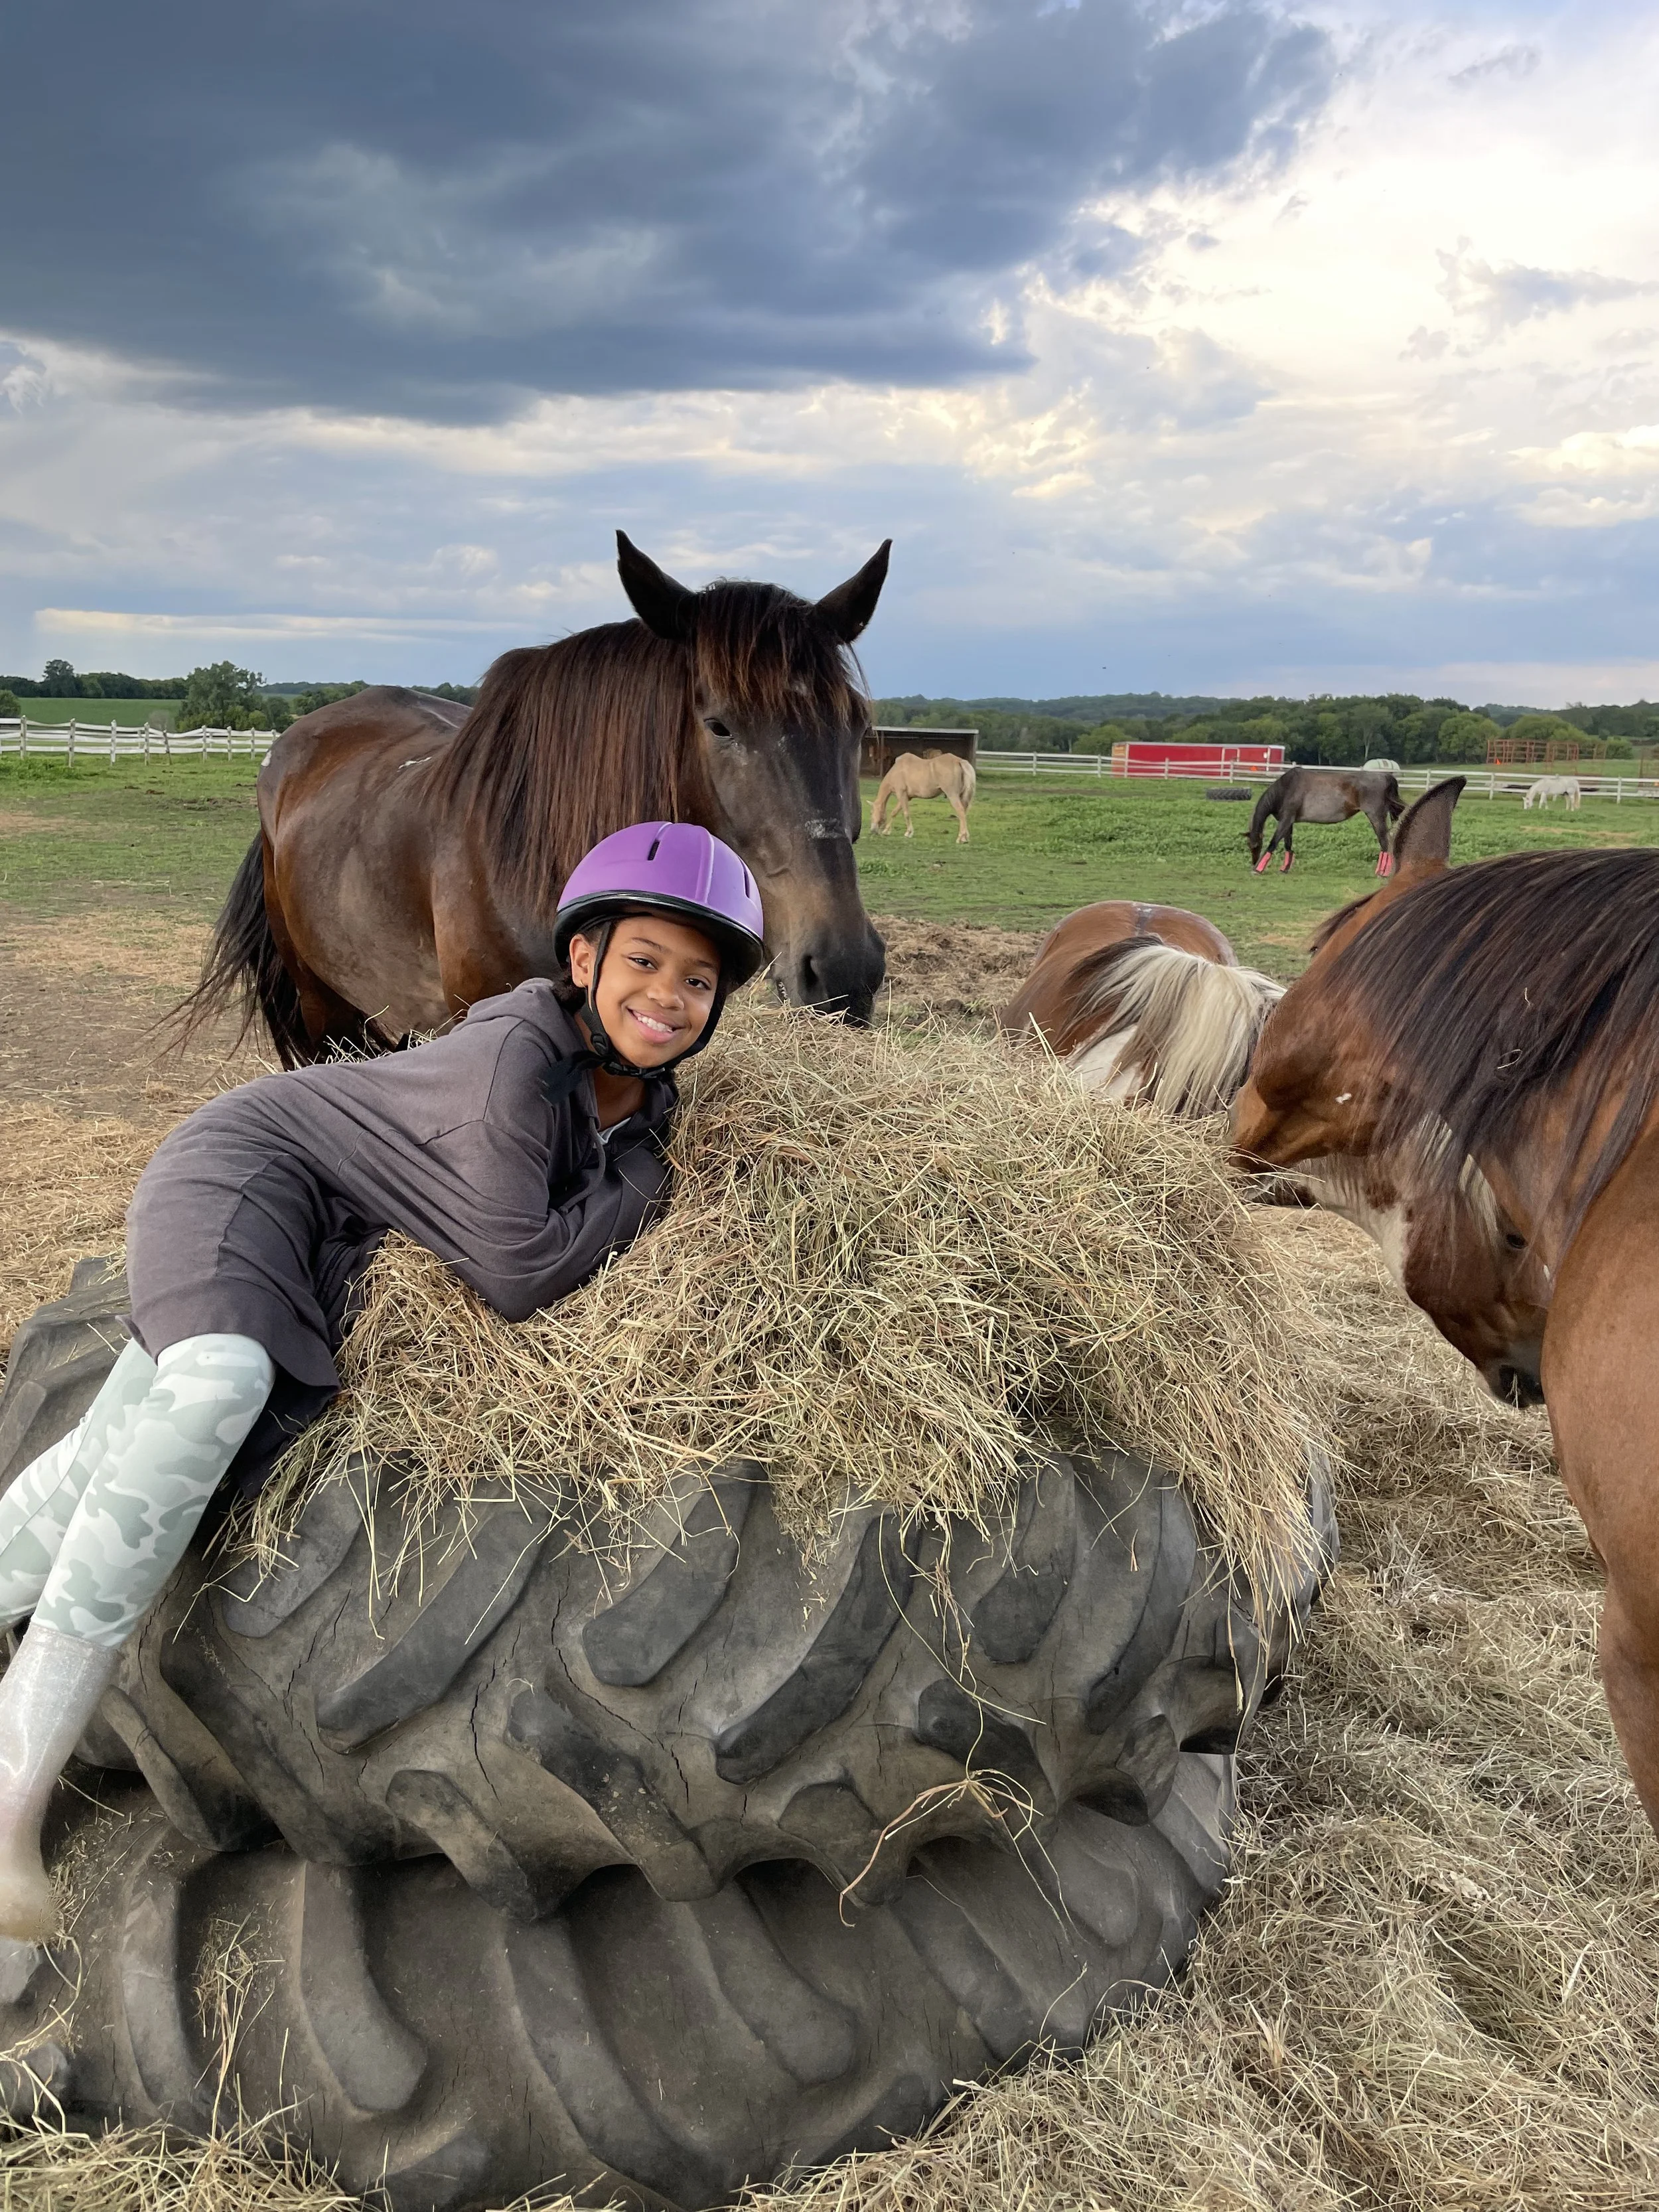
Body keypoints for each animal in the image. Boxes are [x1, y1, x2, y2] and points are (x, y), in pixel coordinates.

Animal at [871, 751, 977, 844]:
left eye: (872, 812)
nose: (872, 831)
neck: (896, 771)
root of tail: (960, 761)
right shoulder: (907, 797)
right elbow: (894, 812)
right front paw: (886, 831)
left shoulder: (901, 794)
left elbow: (906, 813)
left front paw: (909, 833)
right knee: (963, 813)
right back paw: (964, 838)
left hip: (952, 795)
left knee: (961, 812)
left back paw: (960, 838)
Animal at [1248, 766, 1404, 876]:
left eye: (1255, 845)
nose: (1253, 862)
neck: (1286, 788)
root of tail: (1385, 776)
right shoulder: (1289, 823)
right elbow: (1288, 845)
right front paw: (1284, 868)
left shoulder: (1285, 821)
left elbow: (1273, 843)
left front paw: (1258, 869)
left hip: (1376, 817)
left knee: (1385, 842)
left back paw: (1383, 872)